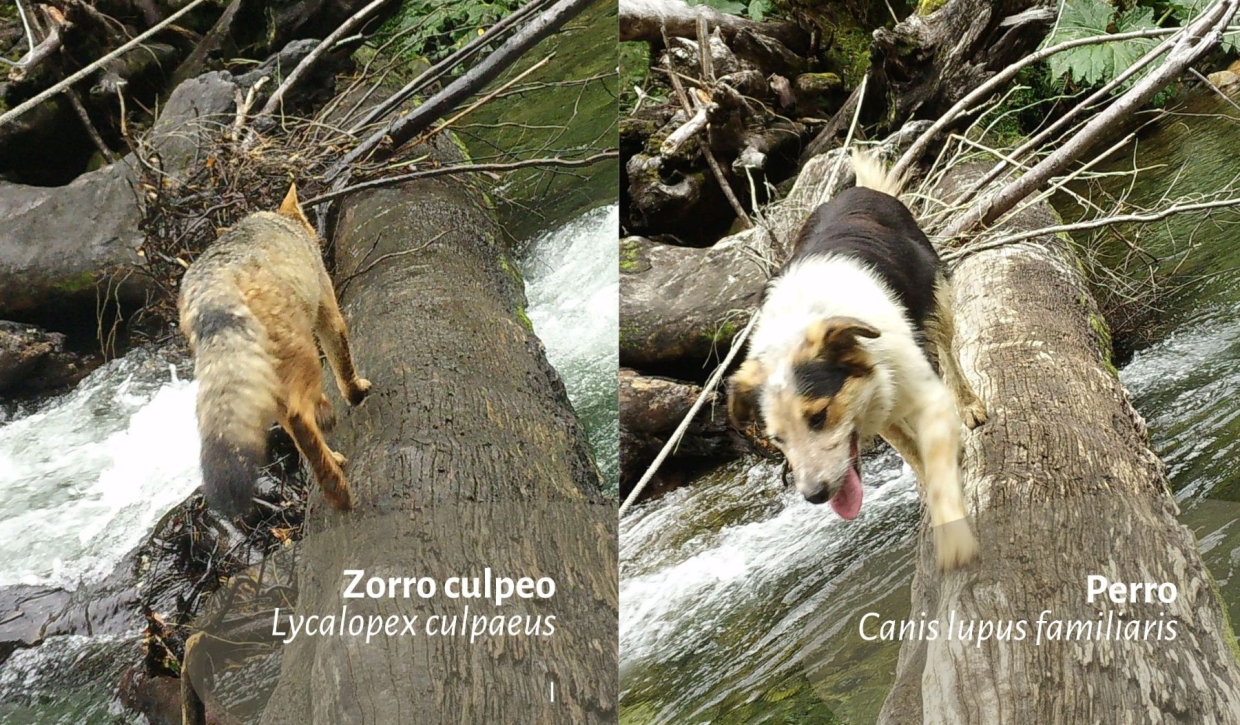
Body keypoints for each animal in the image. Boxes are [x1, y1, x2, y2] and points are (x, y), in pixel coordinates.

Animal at [177, 183, 367, 518]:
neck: (286, 226)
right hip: (303, 358)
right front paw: (356, 394)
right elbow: (343, 362)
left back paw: (332, 460)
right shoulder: (327, 309)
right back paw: (337, 488)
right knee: (299, 416)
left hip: (265, 378)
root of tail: (211, 286)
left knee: (294, 426)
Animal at [724, 151, 987, 570]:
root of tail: (859, 191)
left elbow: (939, 474)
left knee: (947, 348)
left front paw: (953, 541)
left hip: (934, 296)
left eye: (818, 417)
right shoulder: (880, 410)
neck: (799, 323)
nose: (815, 496)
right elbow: (916, 457)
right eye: (778, 439)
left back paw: (970, 406)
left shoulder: (926, 396)